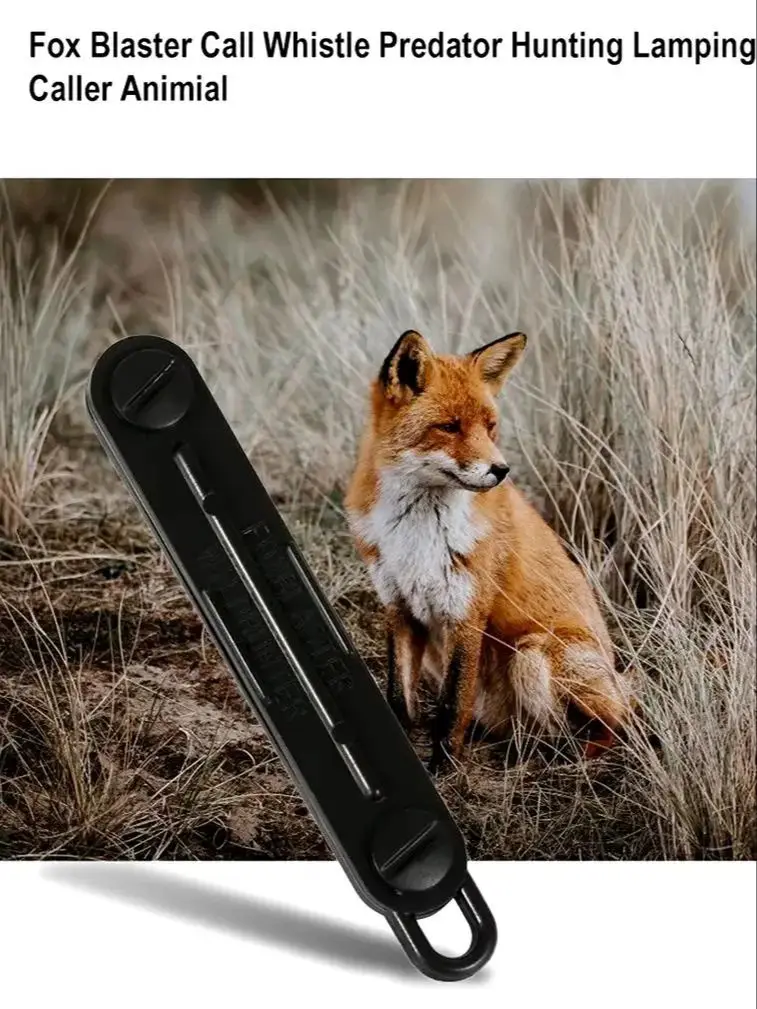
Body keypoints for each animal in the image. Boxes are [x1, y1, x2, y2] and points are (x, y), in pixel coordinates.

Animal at [345, 329, 632, 770]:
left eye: (490, 427)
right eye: (449, 427)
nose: (501, 471)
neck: (416, 533)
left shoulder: (466, 611)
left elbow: (451, 707)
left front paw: (444, 770)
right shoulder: (399, 606)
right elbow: (399, 698)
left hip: (534, 654)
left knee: (618, 725)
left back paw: (571, 757)